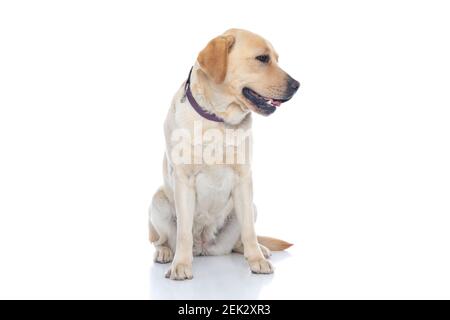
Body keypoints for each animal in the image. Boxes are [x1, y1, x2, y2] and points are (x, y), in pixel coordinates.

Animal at [149, 30, 300, 280]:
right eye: (262, 58)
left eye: (277, 59)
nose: (297, 85)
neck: (217, 119)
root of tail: (203, 247)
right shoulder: (184, 180)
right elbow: (183, 233)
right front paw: (181, 265)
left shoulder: (244, 180)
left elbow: (249, 231)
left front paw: (257, 260)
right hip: (158, 201)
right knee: (163, 239)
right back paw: (165, 252)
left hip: (251, 207)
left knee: (241, 240)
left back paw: (261, 250)